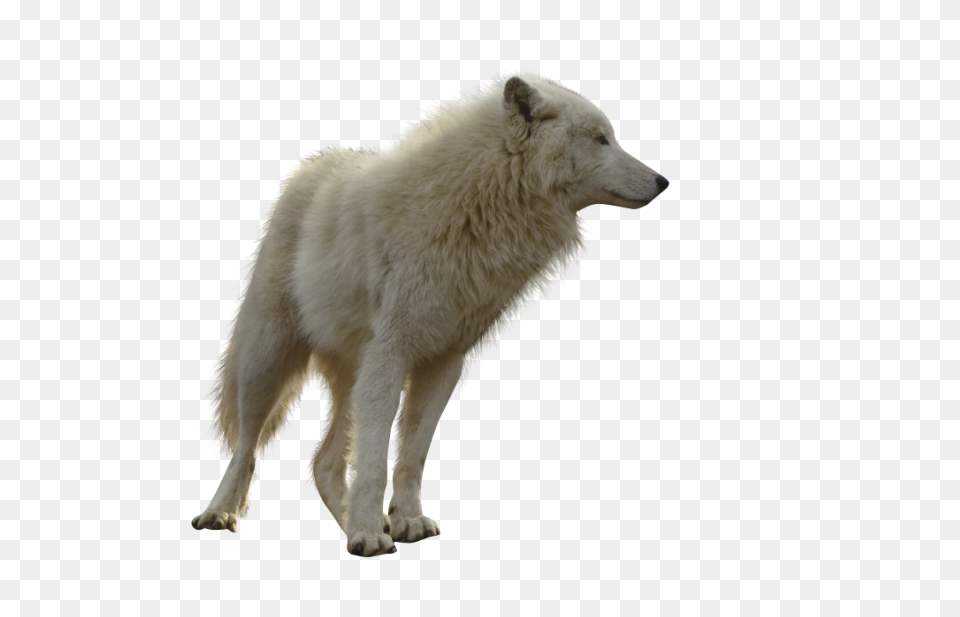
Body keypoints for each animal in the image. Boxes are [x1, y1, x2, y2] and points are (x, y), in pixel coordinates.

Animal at [191, 76, 669, 556]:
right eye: (601, 138)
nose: (663, 181)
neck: (477, 204)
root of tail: (315, 163)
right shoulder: (391, 354)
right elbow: (375, 460)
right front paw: (370, 534)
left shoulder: (444, 361)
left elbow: (412, 455)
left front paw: (403, 522)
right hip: (266, 360)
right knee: (247, 447)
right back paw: (220, 514)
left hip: (352, 378)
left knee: (323, 462)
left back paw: (350, 524)